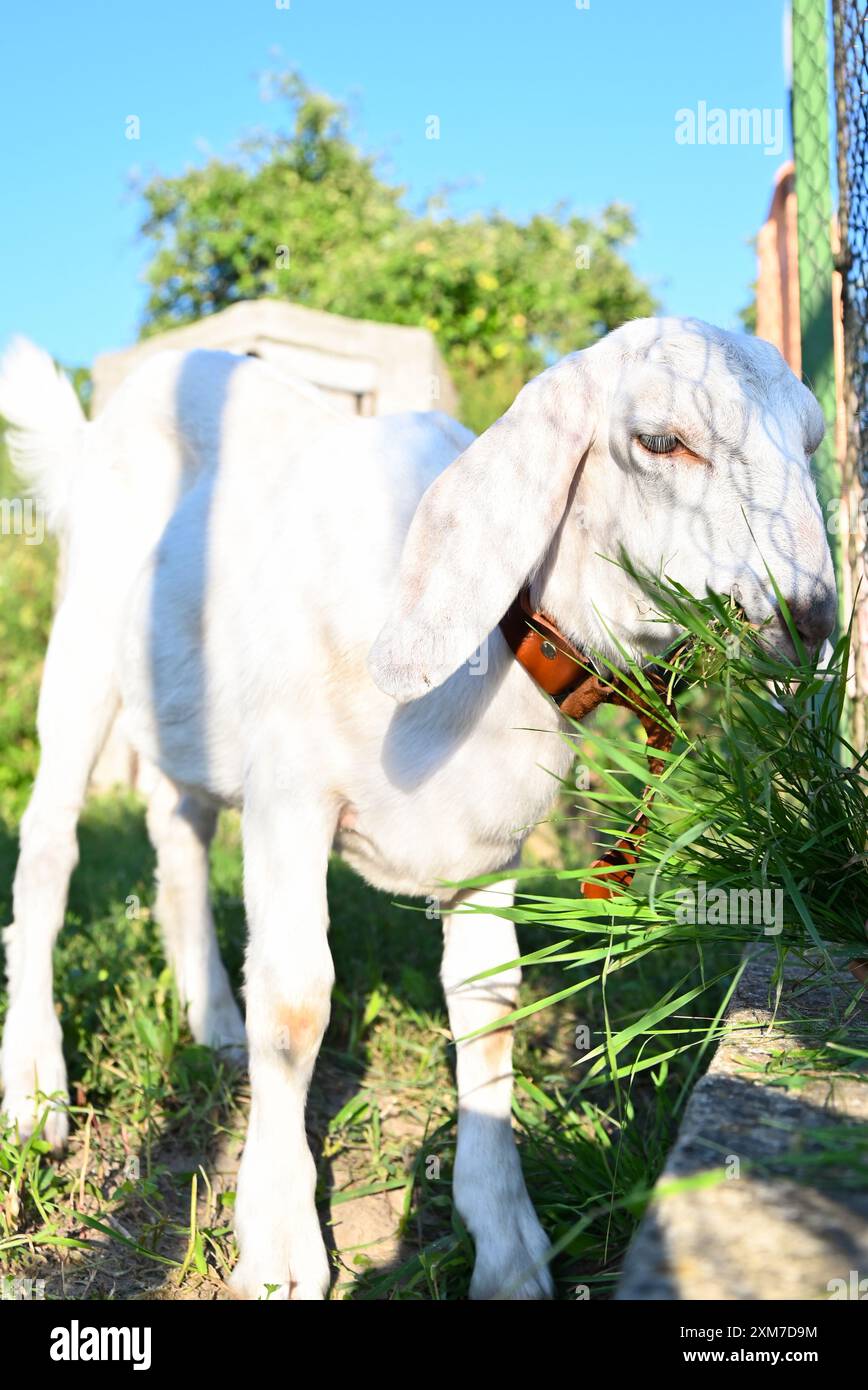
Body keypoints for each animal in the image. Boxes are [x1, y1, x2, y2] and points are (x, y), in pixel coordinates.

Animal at [0, 317, 836, 1299]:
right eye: (661, 440)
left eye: (811, 443)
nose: (813, 617)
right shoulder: (290, 793)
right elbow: (295, 1002)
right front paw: (279, 1241)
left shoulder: (491, 850)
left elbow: (488, 1008)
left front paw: (508, 1245)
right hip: (84, 651)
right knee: (49, 854)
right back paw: (36, 1091)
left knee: (178, 832)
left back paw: (213, 1021)